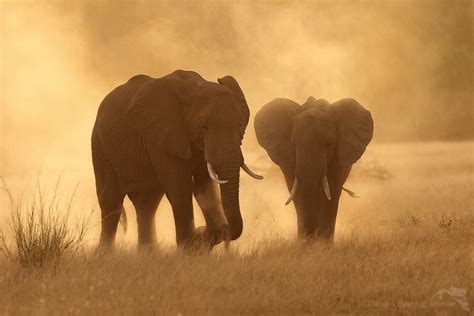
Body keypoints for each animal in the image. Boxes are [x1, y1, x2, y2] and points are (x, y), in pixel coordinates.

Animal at [91, 69, 262, 249]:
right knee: (111, 202)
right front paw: (189, 247)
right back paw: (105, 253)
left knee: (147, 203)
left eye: (240, 125)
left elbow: (203, 185)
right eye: (204, 127)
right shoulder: (162, 137)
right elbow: (180, 187)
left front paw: (201, 239)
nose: (201, 230)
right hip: (100, 145)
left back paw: (148, 253)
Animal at [254, 97, 372, 242]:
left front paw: (323, 244)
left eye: (329, 145)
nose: (312, 236)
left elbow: (330, 193)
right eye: (293, 144)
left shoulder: (338, 160)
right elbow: (297, 193)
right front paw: (305, 243)